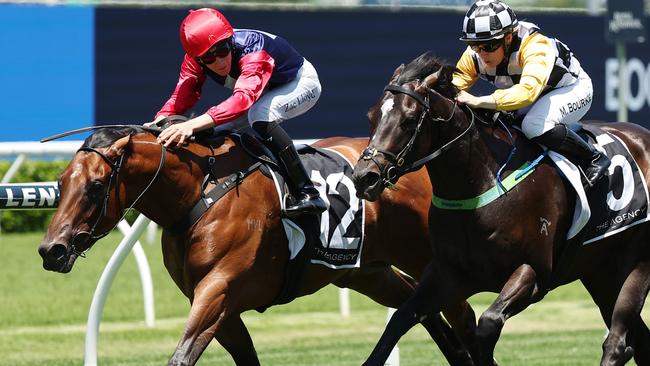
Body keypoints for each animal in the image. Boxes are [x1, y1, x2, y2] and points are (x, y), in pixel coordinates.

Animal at [39, 127, 476, 364]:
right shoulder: (221, 307)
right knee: (420, 310)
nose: (51, 250)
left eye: (96, 186)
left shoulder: (219, 290)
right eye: (60, 183)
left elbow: (181, 356)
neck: (200, 193)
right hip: (365, 273)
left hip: (430, 256)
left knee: (459, 312)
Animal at [352, 51, 648, 366]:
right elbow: (400, 319)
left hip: (637, 262)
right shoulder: (448, 273)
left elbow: (488, 324)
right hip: (600, 272)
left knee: (618, 342)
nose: (364, 177)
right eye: (372, 116)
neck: (479, 185)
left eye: (409, 120)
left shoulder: (533, 272)